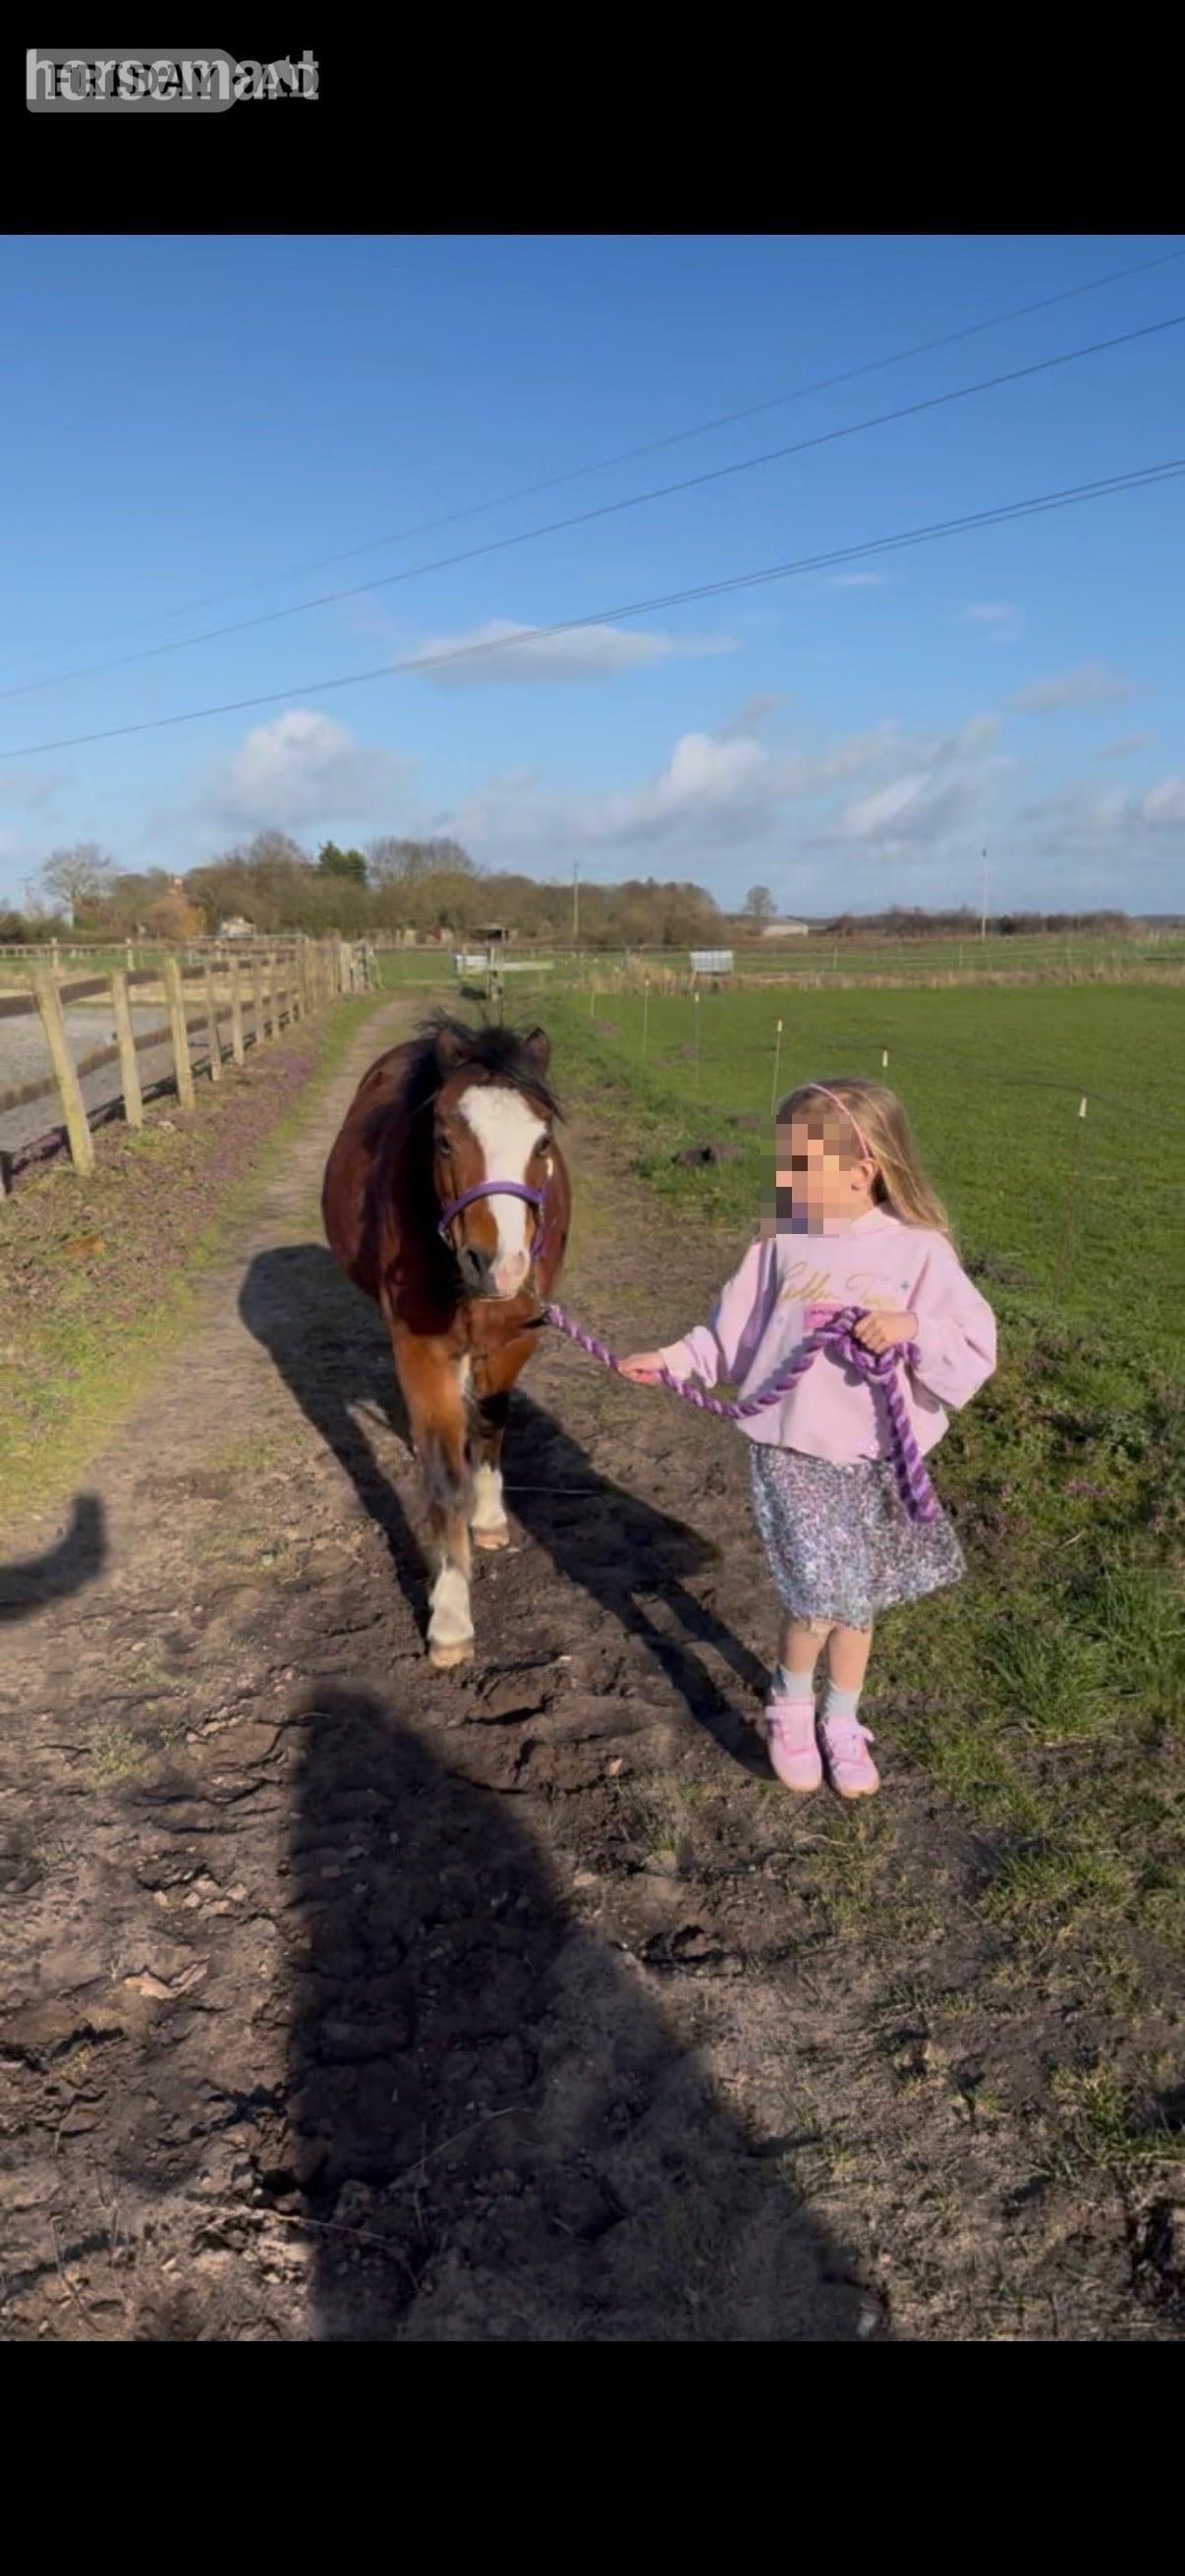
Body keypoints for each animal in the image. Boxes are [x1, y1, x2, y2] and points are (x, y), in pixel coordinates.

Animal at [321, 1013, 571, 1668]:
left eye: (542, 1143)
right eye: (443, 1141)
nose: (498, 1264)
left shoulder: (514, 1339)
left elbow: (491, 1424)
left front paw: (489, 1514)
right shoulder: (420, 1348)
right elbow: (441, 1476)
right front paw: (451, 1616)